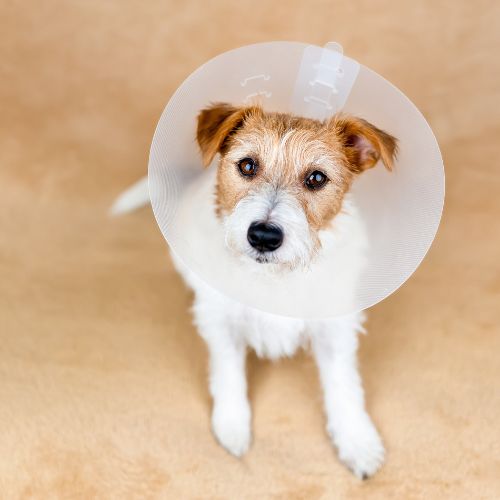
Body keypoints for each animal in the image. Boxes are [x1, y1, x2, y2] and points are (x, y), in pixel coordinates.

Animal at [114, 102, 398, 480]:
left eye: (317, 178)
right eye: (247, 165)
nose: (263, 236)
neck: (275, 277)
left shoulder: (334, 329)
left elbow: (344, 384)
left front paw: (357, 440)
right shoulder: (222, 321)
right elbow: (228, 372)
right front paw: (232, 426)